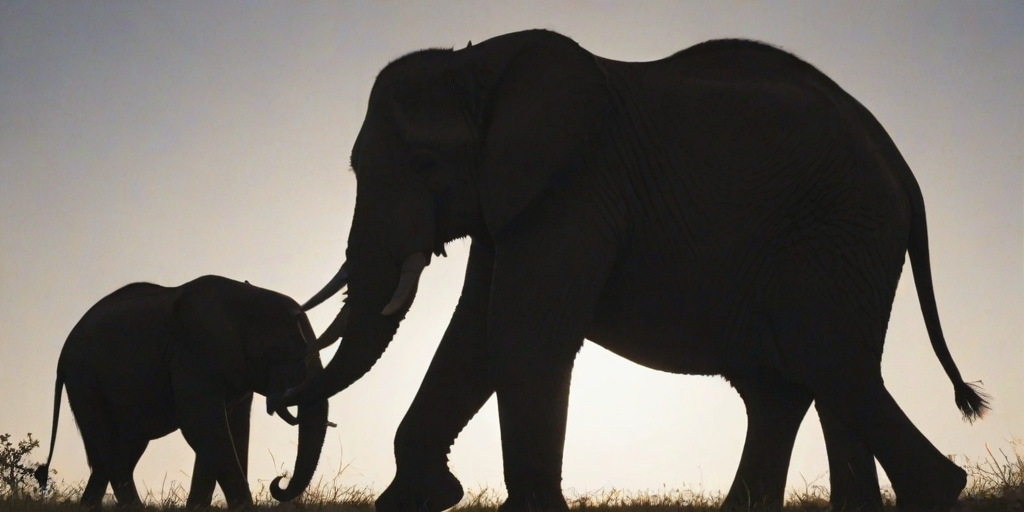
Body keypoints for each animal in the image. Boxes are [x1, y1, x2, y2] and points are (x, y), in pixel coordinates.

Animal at [34, 275, 331, 509]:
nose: (279, 480)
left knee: (119, 450)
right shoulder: (195, 350)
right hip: (85, 381)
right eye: (288, 350)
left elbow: (230, 429)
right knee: (110, 447)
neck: (248, 296)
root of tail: (63, 352)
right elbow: (201, 423)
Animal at [273, 30, 989, 511]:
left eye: (424, 162)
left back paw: (940, 489)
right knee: (792, 381)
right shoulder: (516, 199)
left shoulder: (577, 188)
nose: (280, 483)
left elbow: (521, 335)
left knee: (819, 357)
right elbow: (473, 337)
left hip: (838, 229)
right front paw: (417, 500)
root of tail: (898, 160)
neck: (480, 63)